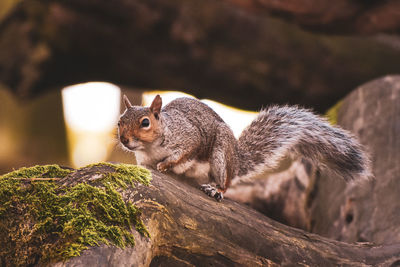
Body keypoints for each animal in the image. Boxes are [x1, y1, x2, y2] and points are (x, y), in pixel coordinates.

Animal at [118, 94, 372, 201]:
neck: (151, 147)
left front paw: (165, 165)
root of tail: (236, 161)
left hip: (221, 155)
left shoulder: (190, 138)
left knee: (226, 183)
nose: (124, 140)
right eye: (120, 121)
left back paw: (216, 190)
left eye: (145, 123)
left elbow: (184, 154)